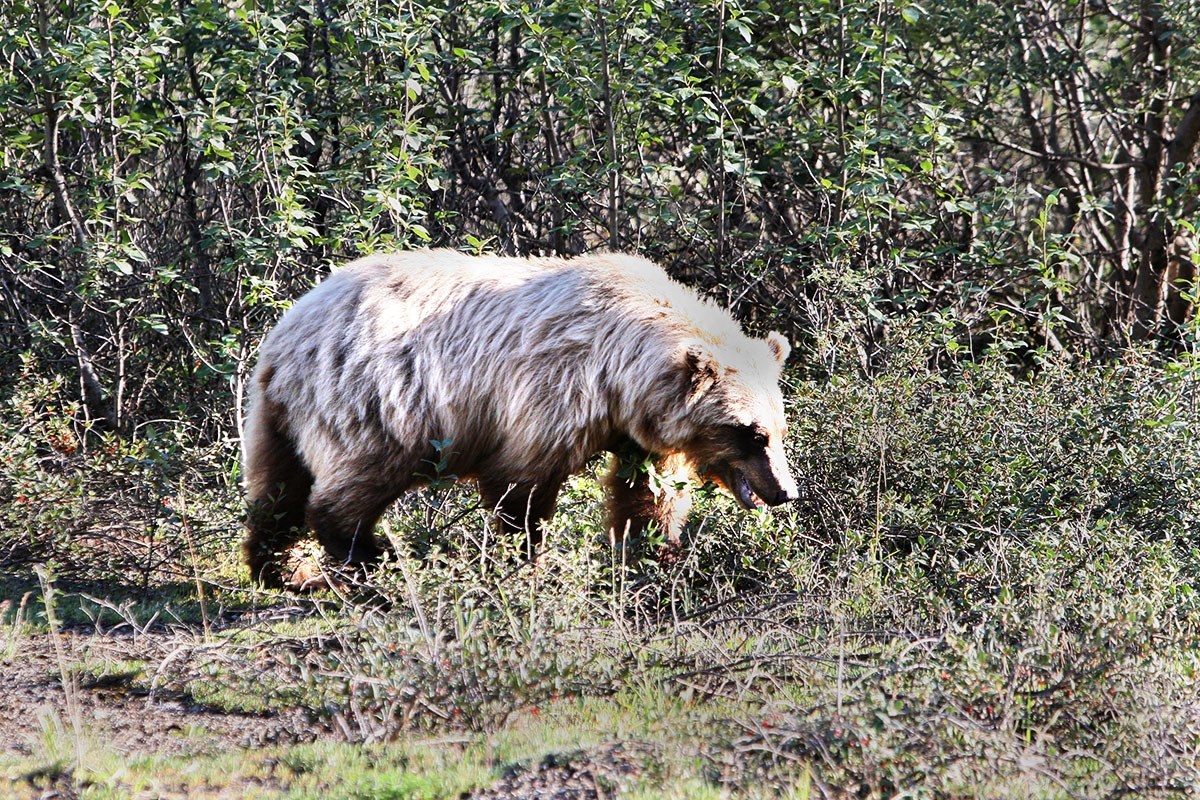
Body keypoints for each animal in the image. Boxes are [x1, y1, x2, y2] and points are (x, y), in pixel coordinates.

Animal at [241, 250, 796, 587]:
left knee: (277, 489)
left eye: (779, 428)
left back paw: (278, 567)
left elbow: (647, 493)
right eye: (751, 433)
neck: (620, 373)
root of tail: (287, 333)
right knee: (354, 483)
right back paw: (369, 560)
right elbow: (522, 485)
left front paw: (655, 555)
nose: (785, 491)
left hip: (276, 414)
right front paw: (528, 559)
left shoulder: (639, 429)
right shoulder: (551, 389)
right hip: (380, 400)